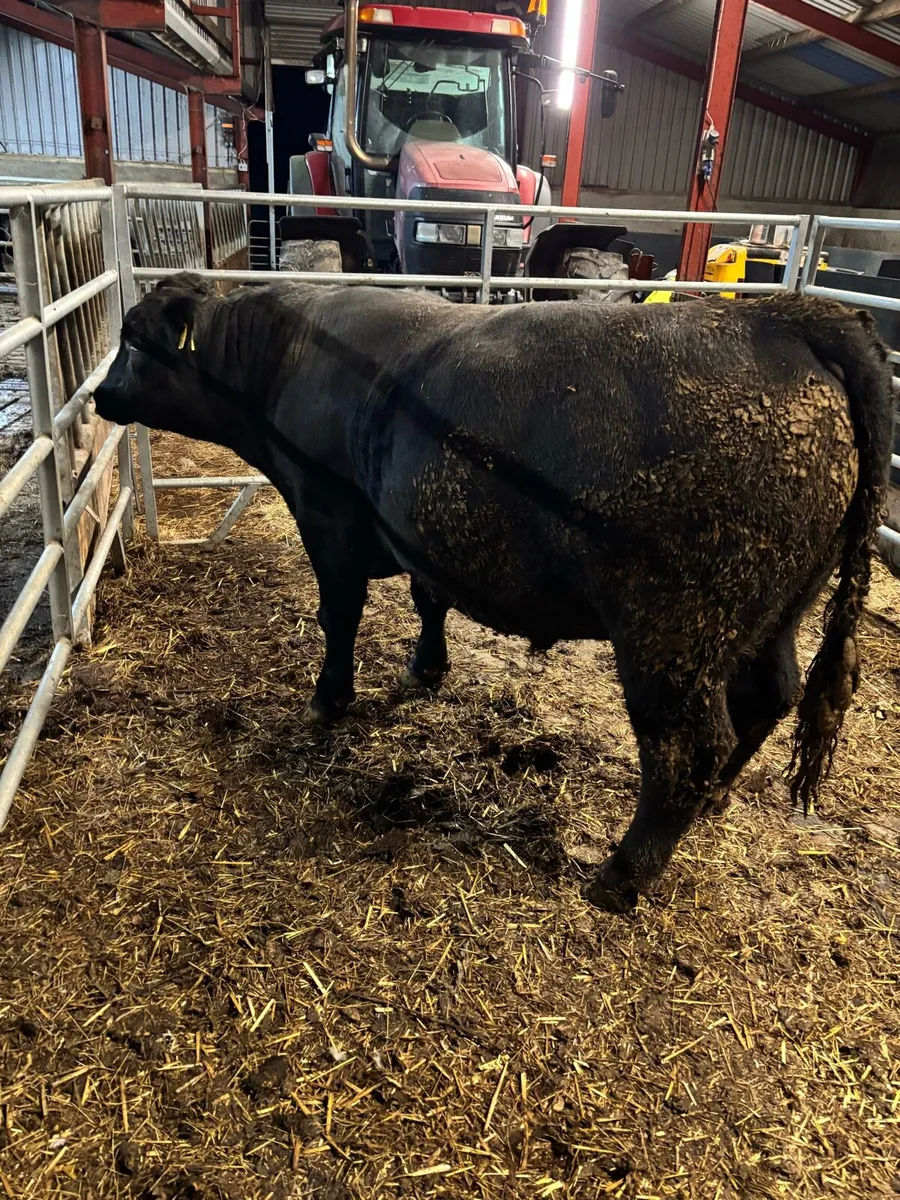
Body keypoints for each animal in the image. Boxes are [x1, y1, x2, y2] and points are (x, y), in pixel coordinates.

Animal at [94, 274, 893, 911]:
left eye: (133, 340)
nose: (100, 395)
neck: (288, 355)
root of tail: (781, 319)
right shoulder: (421, 531)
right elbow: (428, 601)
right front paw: (426, 670)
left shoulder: (327, 516)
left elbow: (339, 616)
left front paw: (329, 699)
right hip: (773, 615)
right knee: (772, 696)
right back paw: (718, 800)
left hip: (672, 636)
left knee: (687, 748)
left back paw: (621, 877)